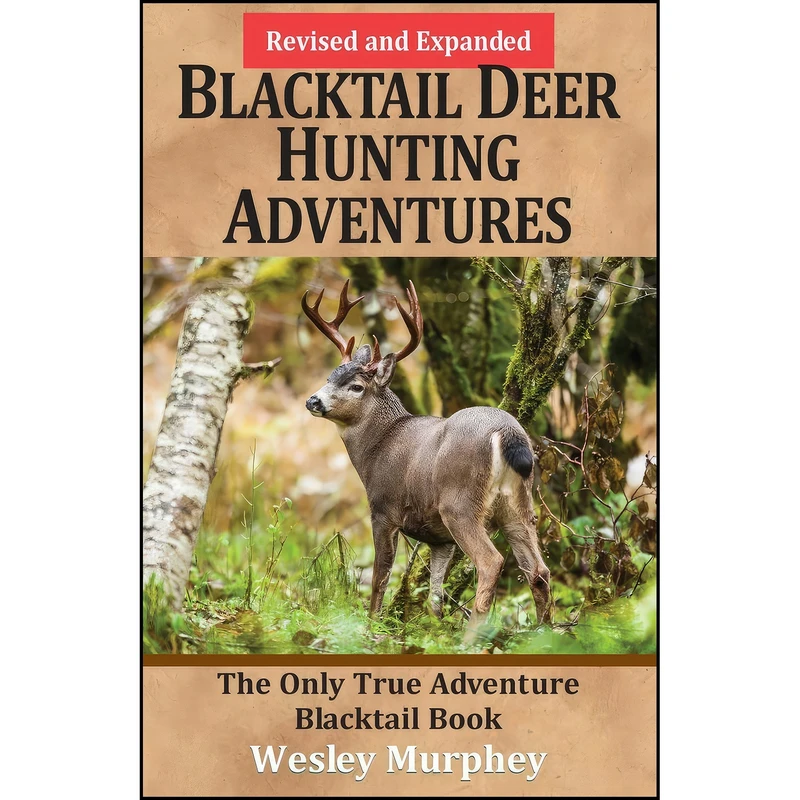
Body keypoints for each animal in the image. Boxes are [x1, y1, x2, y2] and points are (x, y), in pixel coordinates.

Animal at [302, 279, 551, 639]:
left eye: (356, 386)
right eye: (329, 377)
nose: (313, 401)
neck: (379, 444)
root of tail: (508, 432)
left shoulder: (383, 509)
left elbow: (379, 576)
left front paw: (372, 626)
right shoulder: (438, 539)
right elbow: (435, 595)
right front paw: (433, 632)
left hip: (460, 502)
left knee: (491, 562)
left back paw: (470, 638)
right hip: (517, 502)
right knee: (539, 570)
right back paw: (547, 633)